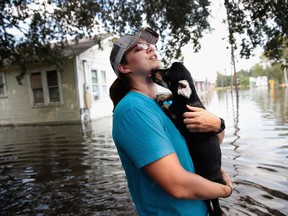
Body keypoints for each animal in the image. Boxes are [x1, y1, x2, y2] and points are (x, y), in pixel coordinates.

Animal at [152, 61, 226, 215]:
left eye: (167, 73)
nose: (152, 70)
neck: (188, 100)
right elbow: (171, 97)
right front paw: (163, 97)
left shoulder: (182, 124)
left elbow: (168, 110)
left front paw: (163, 104)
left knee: (214, 204)